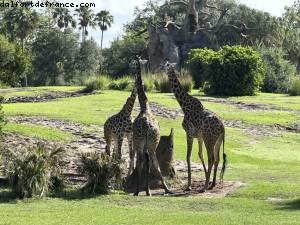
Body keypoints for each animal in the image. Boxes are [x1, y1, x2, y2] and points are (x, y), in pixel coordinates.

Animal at [132, 56, 172, 197]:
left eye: (134, 60)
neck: (144, 105)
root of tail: (146, 129)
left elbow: (145, 163)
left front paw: (143, 189)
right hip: (150, 144)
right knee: (151, 163)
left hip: (142, 144)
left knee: (143, 162)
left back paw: (142, 190)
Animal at [165, 62, 226, 192]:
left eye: (165, 65)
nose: (159, 68)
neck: (184, 106)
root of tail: (223, 127)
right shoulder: (199, 137)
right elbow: (199, 154)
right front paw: (205, 177)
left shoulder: (189, 133)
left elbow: (188, 156)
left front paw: (188, 185)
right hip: (217, 140)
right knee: (217, 158)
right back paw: (212, 184)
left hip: (209, 139)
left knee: (211, 158)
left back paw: (205, 187)